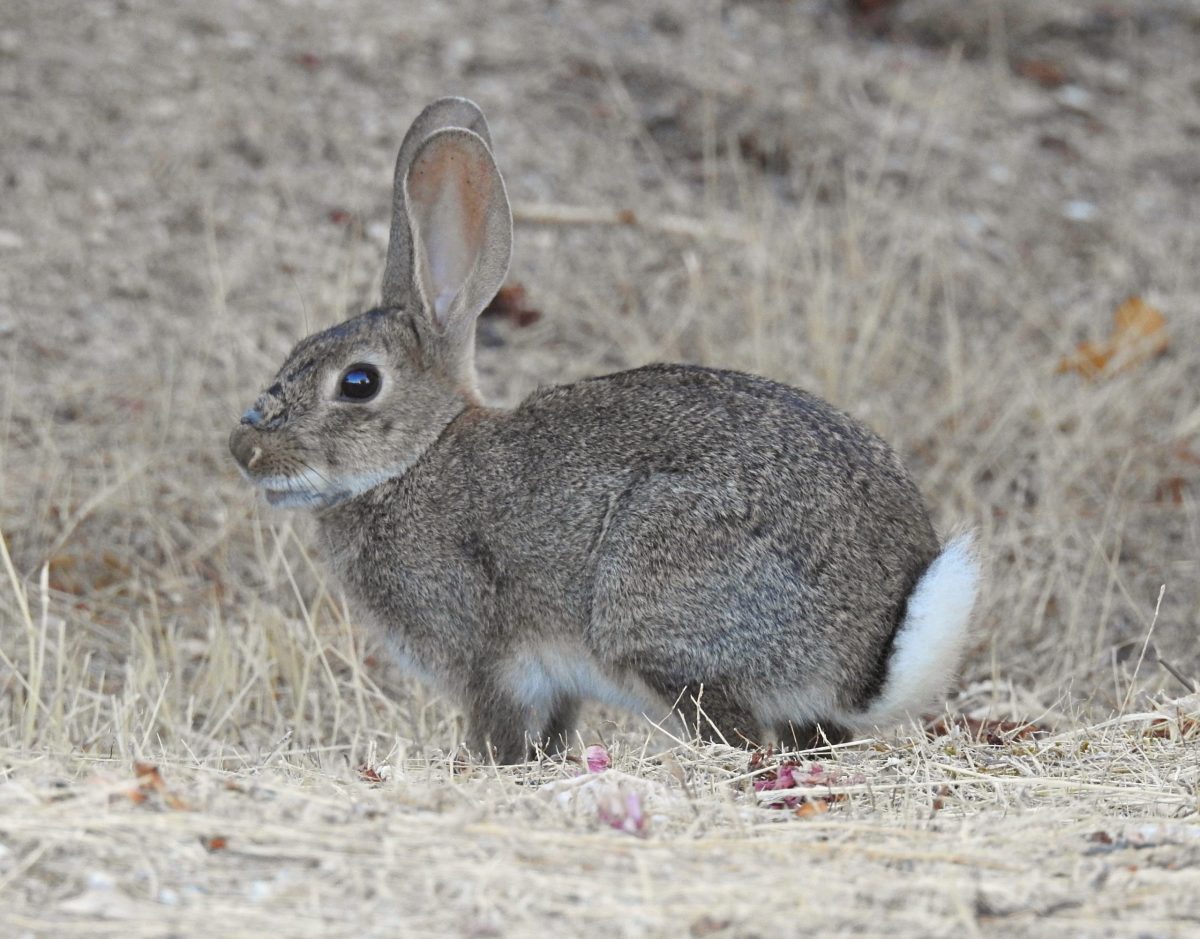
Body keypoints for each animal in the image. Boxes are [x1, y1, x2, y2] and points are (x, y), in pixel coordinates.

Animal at [229, 95, 979, 763]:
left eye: (358, 382)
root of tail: (869, 656)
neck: (416, 458)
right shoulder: (554, 683)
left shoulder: (485, 656)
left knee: (741, 736)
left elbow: (498, 732)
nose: (245, 448)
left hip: (653, 608)